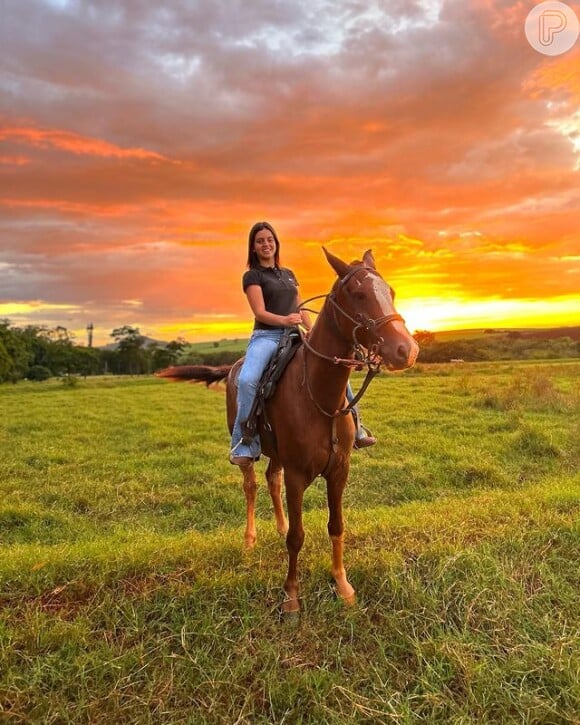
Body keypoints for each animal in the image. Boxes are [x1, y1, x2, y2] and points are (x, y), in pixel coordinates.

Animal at [159, 249, 420, 612]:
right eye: (358, 295)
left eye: (391, 292)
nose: (406, 350)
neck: (317, 393)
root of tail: (233, 367)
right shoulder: (298, 475)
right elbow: (297, 537)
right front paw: (292, 596)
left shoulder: (339, 471)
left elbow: (336, 526)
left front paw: (342, 585)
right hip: (248, 450)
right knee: (252, 485)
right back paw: (250, 539)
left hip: (277, 452)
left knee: (272, 478)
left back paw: (278, 525)